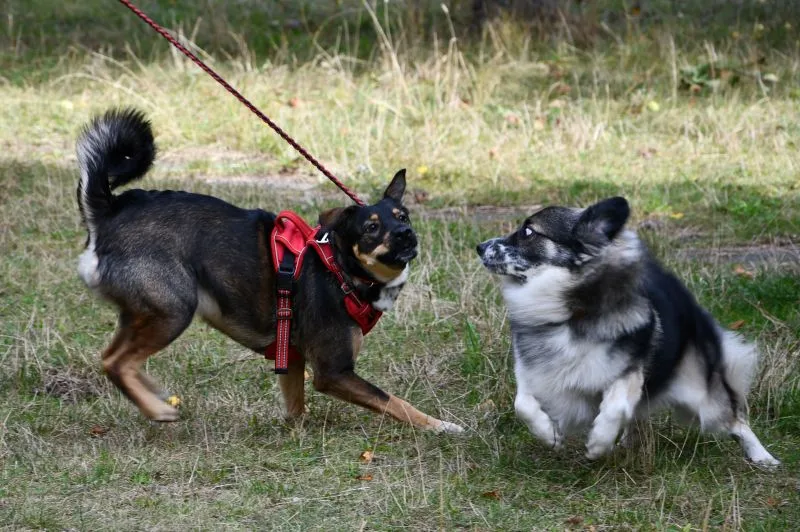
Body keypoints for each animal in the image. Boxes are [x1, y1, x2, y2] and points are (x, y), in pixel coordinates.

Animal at [75, 108, 463, 434]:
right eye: (371, 228)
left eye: (403, 217)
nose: (405, 234)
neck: (339, 268)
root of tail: (110, 211)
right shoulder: (333, 372)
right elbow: (394, 401)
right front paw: (439, 426)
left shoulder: (291, 357)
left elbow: (295, 408)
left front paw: (296, 432)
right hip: (173, 309)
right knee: (115, 362)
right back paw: (157, 409)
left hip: (144, 312)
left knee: (115, 358)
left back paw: (150, 396)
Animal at [476, 197, 779, 466]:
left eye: (528, 231)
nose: (480, 246)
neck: (572, 310)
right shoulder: (533, 371)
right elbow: (522, 404)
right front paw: (549, 435)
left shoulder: (627, 373)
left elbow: (615, 408)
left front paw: (599, 443)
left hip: (700, 398)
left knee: (736, 421)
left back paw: (763, 457)